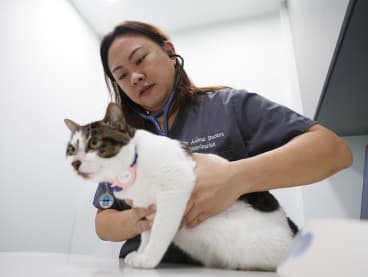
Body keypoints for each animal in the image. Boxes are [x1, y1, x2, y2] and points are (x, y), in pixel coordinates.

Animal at [64, 102, 298, 270]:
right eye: (71, 149)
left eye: (94, 143)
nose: (75, 163)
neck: (130, 169)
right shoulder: (146, 208)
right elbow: (146, 233)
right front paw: (141, 252)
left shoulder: (173, 191)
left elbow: (159, 231)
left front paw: (149, 258)